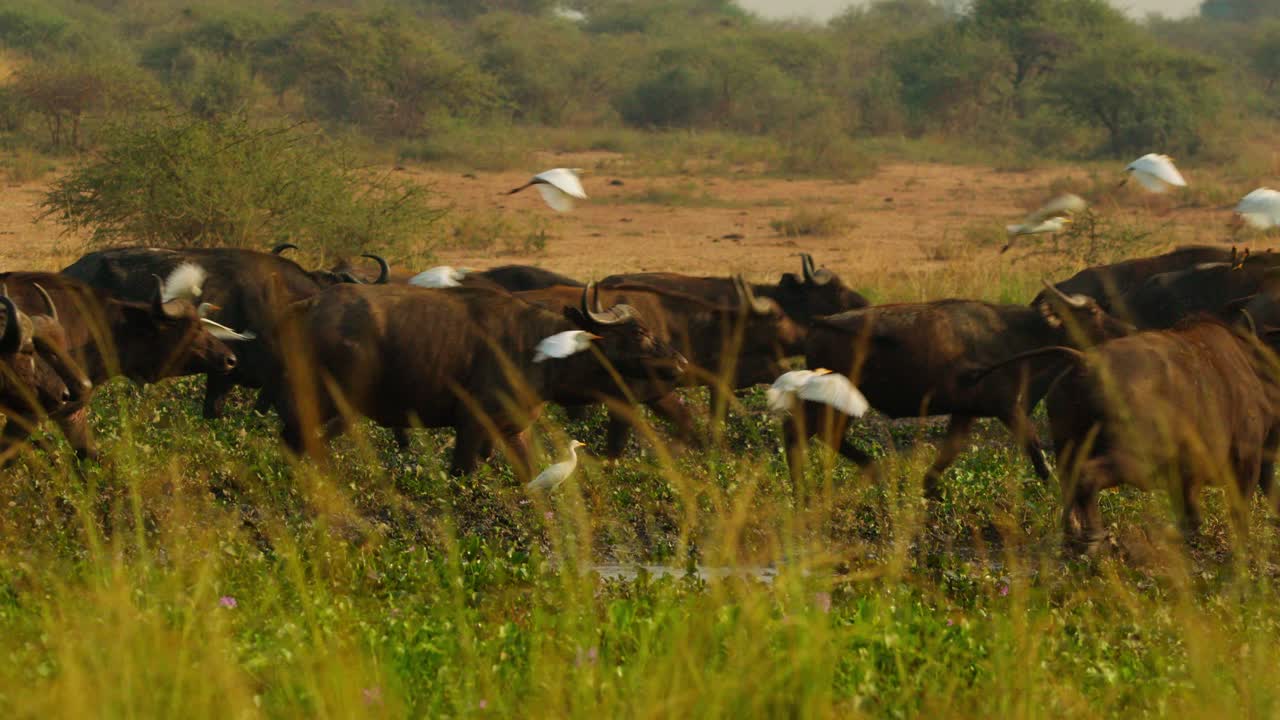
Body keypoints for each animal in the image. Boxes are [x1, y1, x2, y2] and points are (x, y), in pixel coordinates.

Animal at [0, 268, 242, 459]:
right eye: (191, 329)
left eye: (203, 325)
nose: (230, 359)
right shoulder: (30, 414)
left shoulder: (72, 412)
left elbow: (89, 454)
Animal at [272, 283, 687, 478]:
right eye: (638, 332)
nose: (680, 363)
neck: (539, 348)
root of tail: (311, 305)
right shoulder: (471, 425)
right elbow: (462, 472)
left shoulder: (514, 429)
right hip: (327, 400)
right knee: (297, 440)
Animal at [514, 277, 802, 455]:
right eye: (778, 317)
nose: (802, 336)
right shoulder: (625, 400)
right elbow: (614, 448)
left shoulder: (658, 394)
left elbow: (686, 421)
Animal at [782, 284, 1133, 494]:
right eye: (1093, 312)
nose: (1125, 330)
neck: (1015, 332)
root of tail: (819, 322)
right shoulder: (1007, 407)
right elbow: (1034, 445)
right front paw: (1053, 485)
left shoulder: (965, 412)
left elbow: (950, 450)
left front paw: (929, 487)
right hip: (831, 402)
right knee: (803, 433)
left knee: (820, 434)